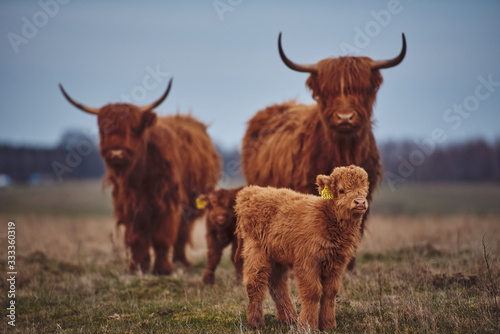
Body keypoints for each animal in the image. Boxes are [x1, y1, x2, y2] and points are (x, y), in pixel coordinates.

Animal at [58, 80, 221, 274]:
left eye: (134, 128)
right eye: (103, 129)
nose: (117, 153)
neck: (139, 177)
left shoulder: (167, 201)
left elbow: (162, 236)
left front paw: (162, 269)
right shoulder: (127, 203)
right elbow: (136, 237)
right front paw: (137, 266)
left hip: (191, 203)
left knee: (182, 232)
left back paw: (181, 261)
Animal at [233, 166, 368, 330]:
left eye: (365, 190)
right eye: (341, 190)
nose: (360, 202)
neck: (327, 218)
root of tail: (250, 191)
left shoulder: (337, 264)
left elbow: (330, 292)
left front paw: (328, 324)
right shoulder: (307, 263)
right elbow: (313, 292)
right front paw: (308, 325)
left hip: (277, 256)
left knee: (278, 284)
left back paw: (289, 318)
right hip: (256, 251)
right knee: (255, 283)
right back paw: (256, 323)